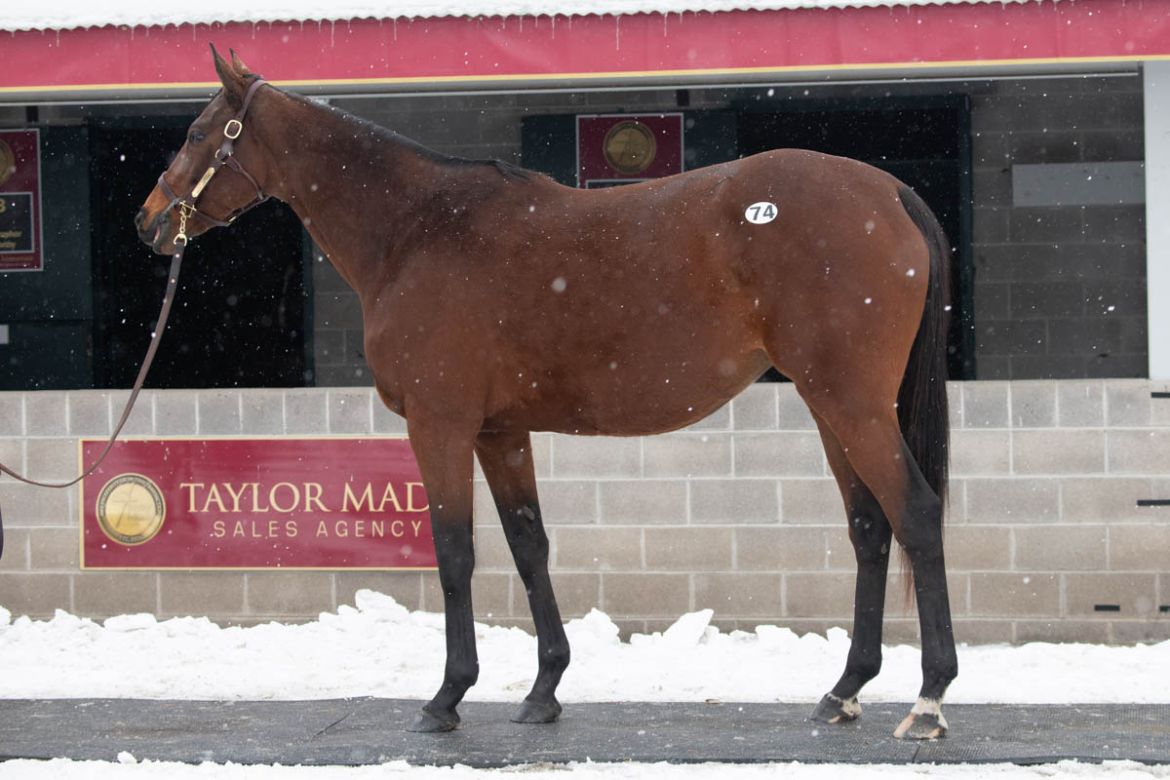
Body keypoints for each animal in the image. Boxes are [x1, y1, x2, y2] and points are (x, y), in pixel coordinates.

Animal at [136, 47, 957, 740]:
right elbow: (529, 545)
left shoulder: (440, 425)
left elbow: (455, 552)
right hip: (830, 406)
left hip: (852, 404)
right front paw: (544, 690)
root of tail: (889, 190)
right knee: (870, 527)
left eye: (199, 131)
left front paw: (447, 697)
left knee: (915, 514)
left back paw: (928, 699)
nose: (149, 221)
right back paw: (844, 689)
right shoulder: (500, 432)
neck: (416, 230)